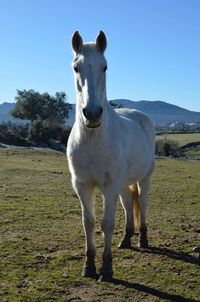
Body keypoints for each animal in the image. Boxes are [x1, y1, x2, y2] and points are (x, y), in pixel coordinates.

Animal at [67, 30, 155, 280]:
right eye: (76, 67)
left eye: (104, 66)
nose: (92, 113)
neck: (94, 140)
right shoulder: (82, 185)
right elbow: (88, 223)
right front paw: (88, 266)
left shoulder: (109, 186)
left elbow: (107, 223)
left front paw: (106, 269)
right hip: (123, 183)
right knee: (128, 205)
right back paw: (126, 240)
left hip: (144, 178)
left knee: (141, 203)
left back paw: (143, 239)